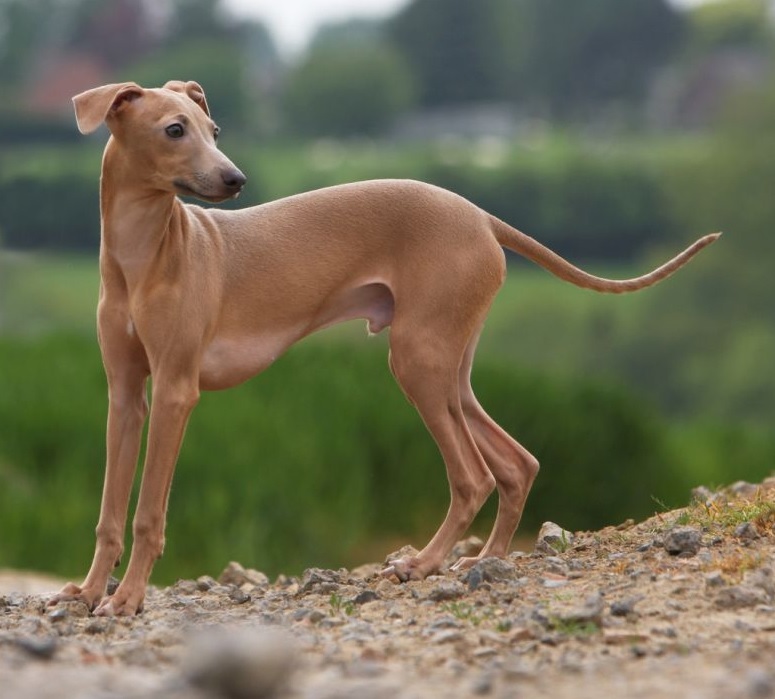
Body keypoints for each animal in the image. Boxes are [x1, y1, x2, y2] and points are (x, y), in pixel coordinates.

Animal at [48, 80, 720, 616]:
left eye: (214, 130)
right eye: (174, 129)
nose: (236, 178)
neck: (143, 259)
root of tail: (481, 215)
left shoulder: (176, 392)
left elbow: (147, 512)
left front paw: (129, 599)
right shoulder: (126, 397)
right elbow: (110, 509)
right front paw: (88, 592)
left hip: (417, 361)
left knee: (473, 477)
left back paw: (423, 563)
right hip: (448, 368)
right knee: (516, 463)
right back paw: (487, 560)